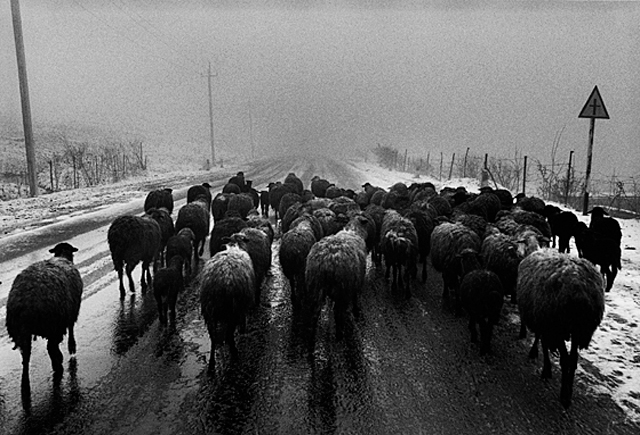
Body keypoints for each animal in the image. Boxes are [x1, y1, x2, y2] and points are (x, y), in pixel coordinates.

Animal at [5, 242, 82, 406]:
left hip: (23, 332)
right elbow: (71, 329)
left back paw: (25, 386)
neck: (62, 256)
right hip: (53, 323)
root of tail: (26, 303)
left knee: (26, 358)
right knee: (51, 347)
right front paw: (72, 347)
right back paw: (58, 364)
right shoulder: (72, 312)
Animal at [200, 245, 255, 374]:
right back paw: (234, 353)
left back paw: (211, 365)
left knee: (213, 338)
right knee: (229, 334)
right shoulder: (241, 308)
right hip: (233, 310)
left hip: (210, 311)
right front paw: (243, 329)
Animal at [516, 249, 604, 408]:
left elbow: (543, 344)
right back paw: (568, 392)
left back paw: (564, 395)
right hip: (577, 330)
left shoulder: (547, 326)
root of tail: (579, 289)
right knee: (573, 359)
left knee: (565, 359)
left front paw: (545, 368)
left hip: (558, 326)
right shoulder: (544, 323)